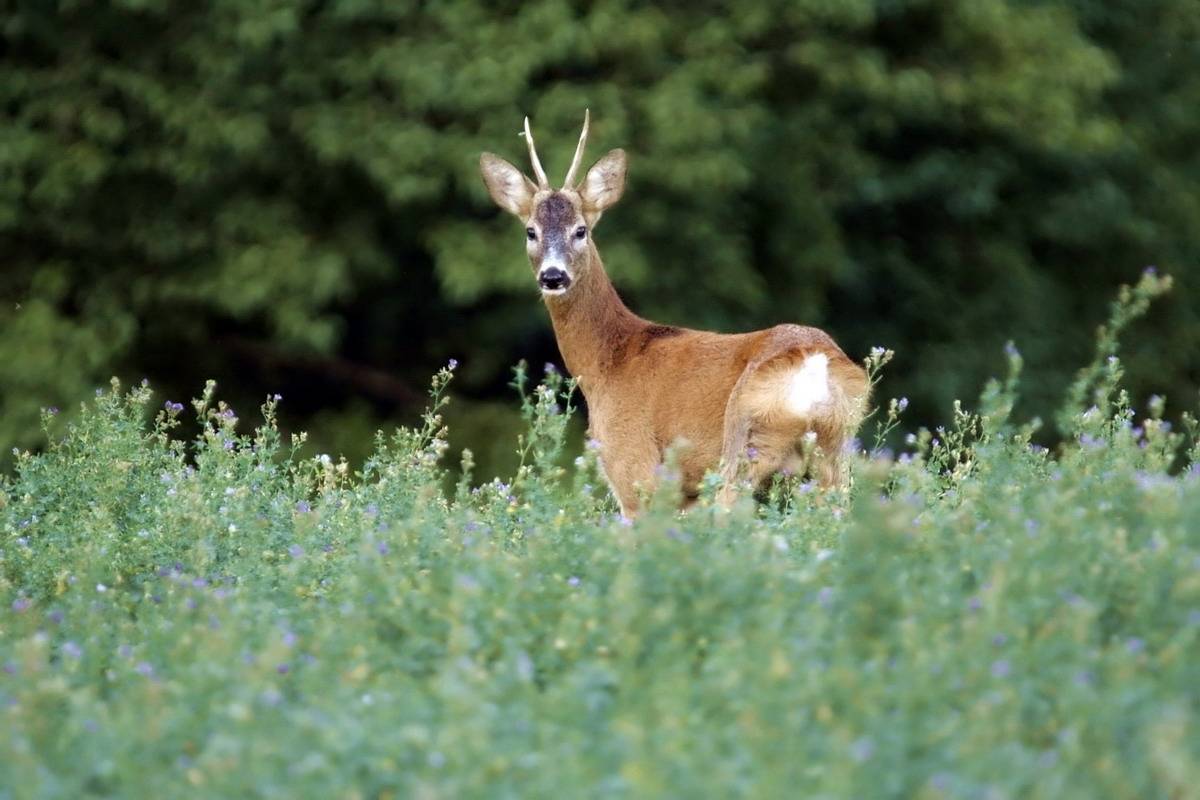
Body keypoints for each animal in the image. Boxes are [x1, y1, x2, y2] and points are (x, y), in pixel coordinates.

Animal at [480, 110, 873, 513]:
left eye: (581, 230)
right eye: (531, 231)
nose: (553, 276)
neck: (608, 363)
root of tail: (815, 363)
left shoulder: (633, 466)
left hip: (744, 440)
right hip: (834, 453)